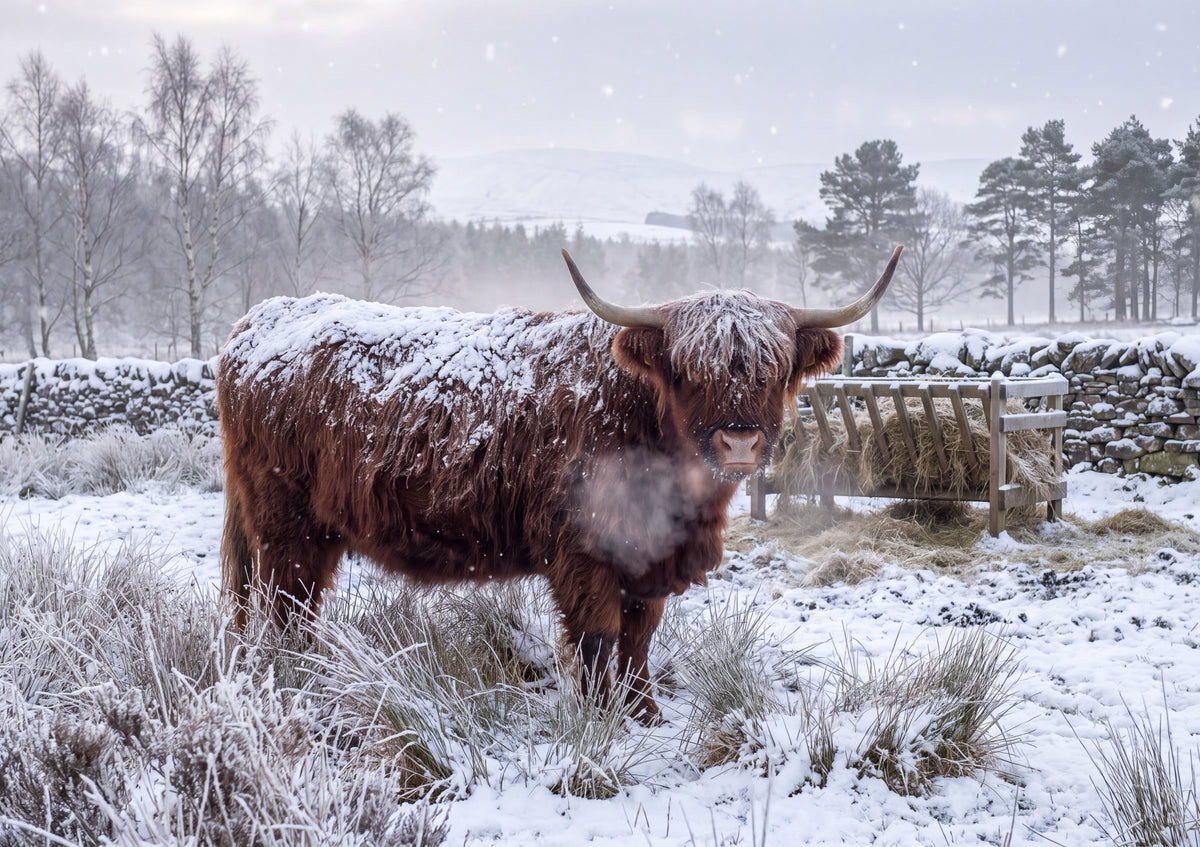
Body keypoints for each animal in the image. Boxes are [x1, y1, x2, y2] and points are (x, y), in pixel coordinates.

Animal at [217, 246, 901, 721]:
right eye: (688, 371)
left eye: (773, 369)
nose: (738, 442)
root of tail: (256, 321)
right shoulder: (583, 548)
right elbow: (599, 637)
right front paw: (602, 720)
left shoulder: (649, 555)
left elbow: (640, 636)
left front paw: (644, 711)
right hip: (286, 521)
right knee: (285, 604)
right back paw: (298, 679)